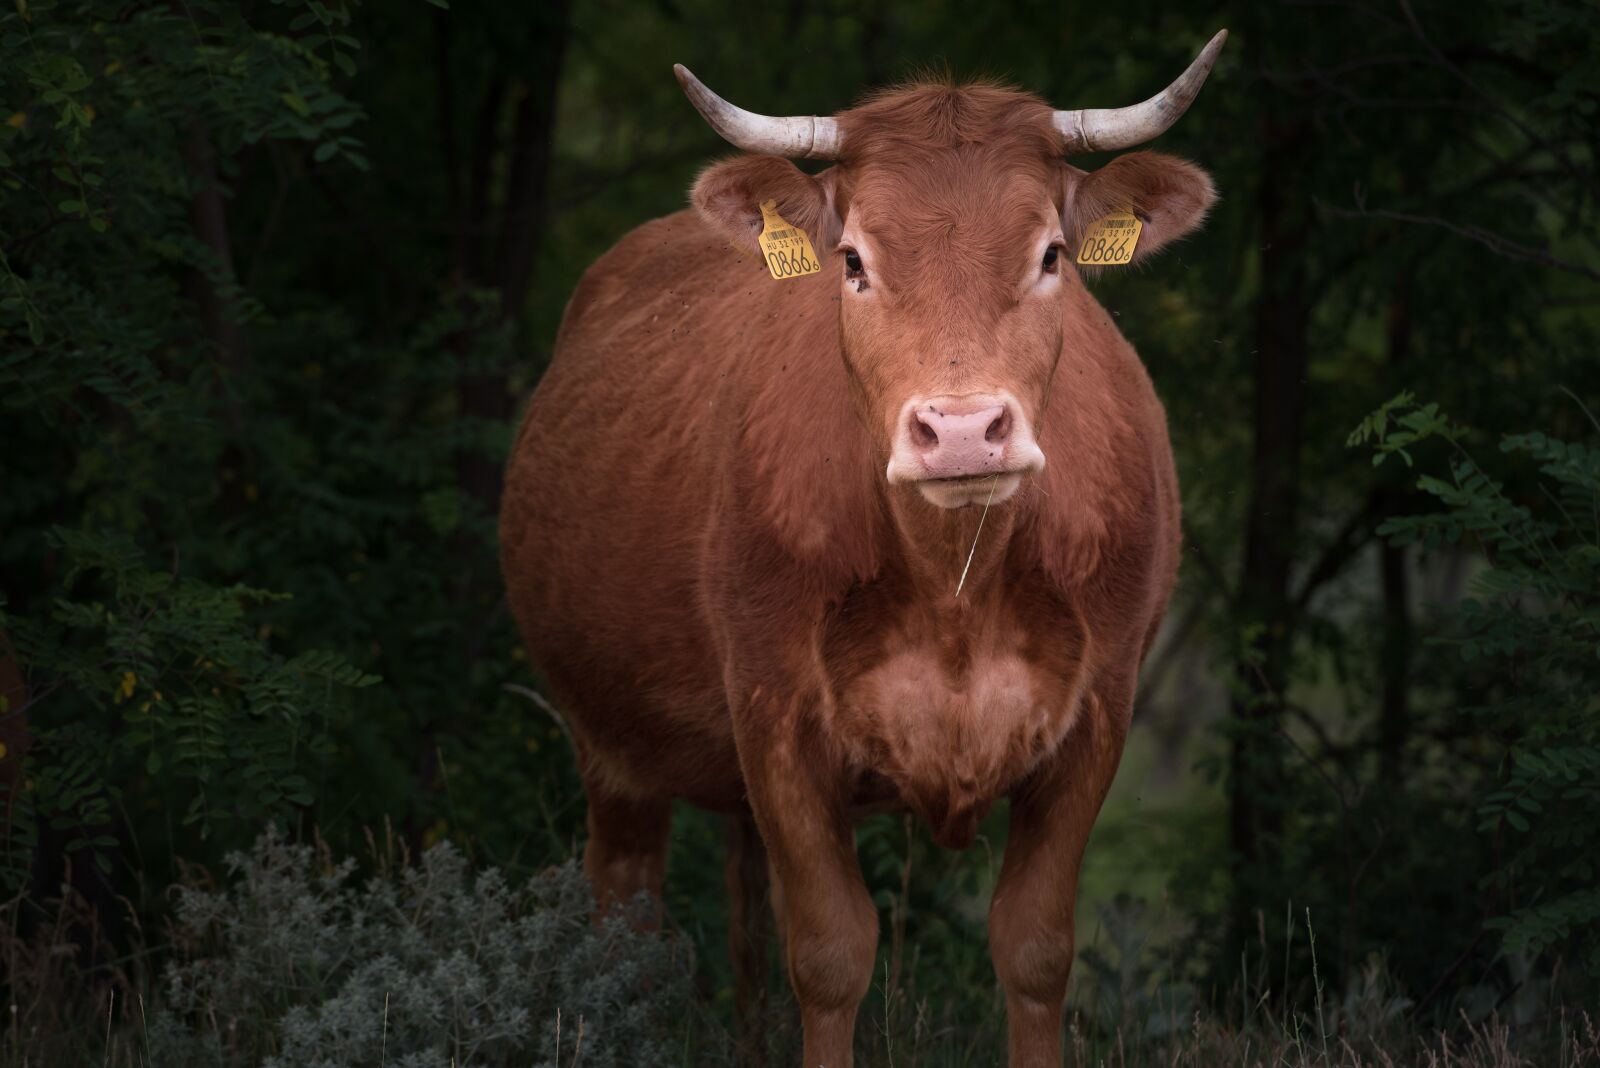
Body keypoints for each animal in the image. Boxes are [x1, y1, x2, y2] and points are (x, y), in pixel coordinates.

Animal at [500, 32, 1225, 1067]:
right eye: (852, 261)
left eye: (1051, 254)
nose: (962, 433)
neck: (954, 585)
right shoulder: (775, 718)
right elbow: (831, 952)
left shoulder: (1098, 716)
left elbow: (1035, 948)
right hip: (608, 742)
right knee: (625, 918)